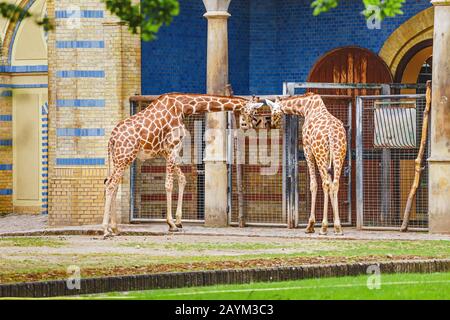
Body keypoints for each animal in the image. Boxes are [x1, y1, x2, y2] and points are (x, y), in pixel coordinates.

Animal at [103, 92, 262, 238]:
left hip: (120, 159)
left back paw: (115, 228)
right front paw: (171, 224)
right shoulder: (173, 147)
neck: (183, 107)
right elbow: (168, 185)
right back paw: (105, 230)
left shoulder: (167, 152)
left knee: (112, 185)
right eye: (253, 112)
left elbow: (182, 179)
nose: (252, 125)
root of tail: (111, 139)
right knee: (111, 185)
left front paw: (178, 221)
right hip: (125, 157)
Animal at [268, 92, 348, 235]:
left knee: (325, 184)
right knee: (335, 184)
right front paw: (335, 224)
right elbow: (331, 184)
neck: (306, 108)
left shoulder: (307, 150)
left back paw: (323, 227)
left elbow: (313, 185)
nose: (272, 123)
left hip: (320, 153)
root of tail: (331, 133)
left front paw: (310, 225)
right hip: (339, 154)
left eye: (274, 111)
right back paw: (338, 228)